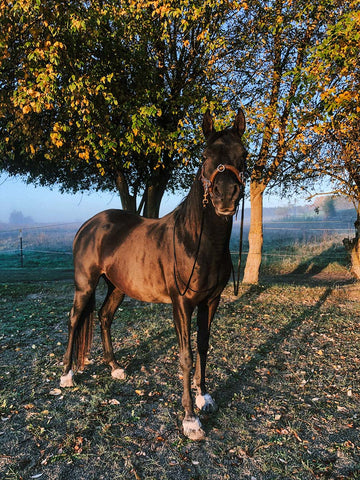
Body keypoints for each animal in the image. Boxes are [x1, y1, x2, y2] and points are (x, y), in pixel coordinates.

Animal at [60, 108, 249, 438]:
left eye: (243, 154)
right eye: (205, 155)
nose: (225, 196)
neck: (196, 241)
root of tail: (90, 224)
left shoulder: (210, 301)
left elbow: (203, 347)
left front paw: (204, 398)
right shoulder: (182, 304)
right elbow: (186, 355)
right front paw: (190, 419)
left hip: (117, 286)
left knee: (104, 317)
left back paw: (115, 367)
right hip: (85, 285)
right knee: (74, 320)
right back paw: (67, 376)